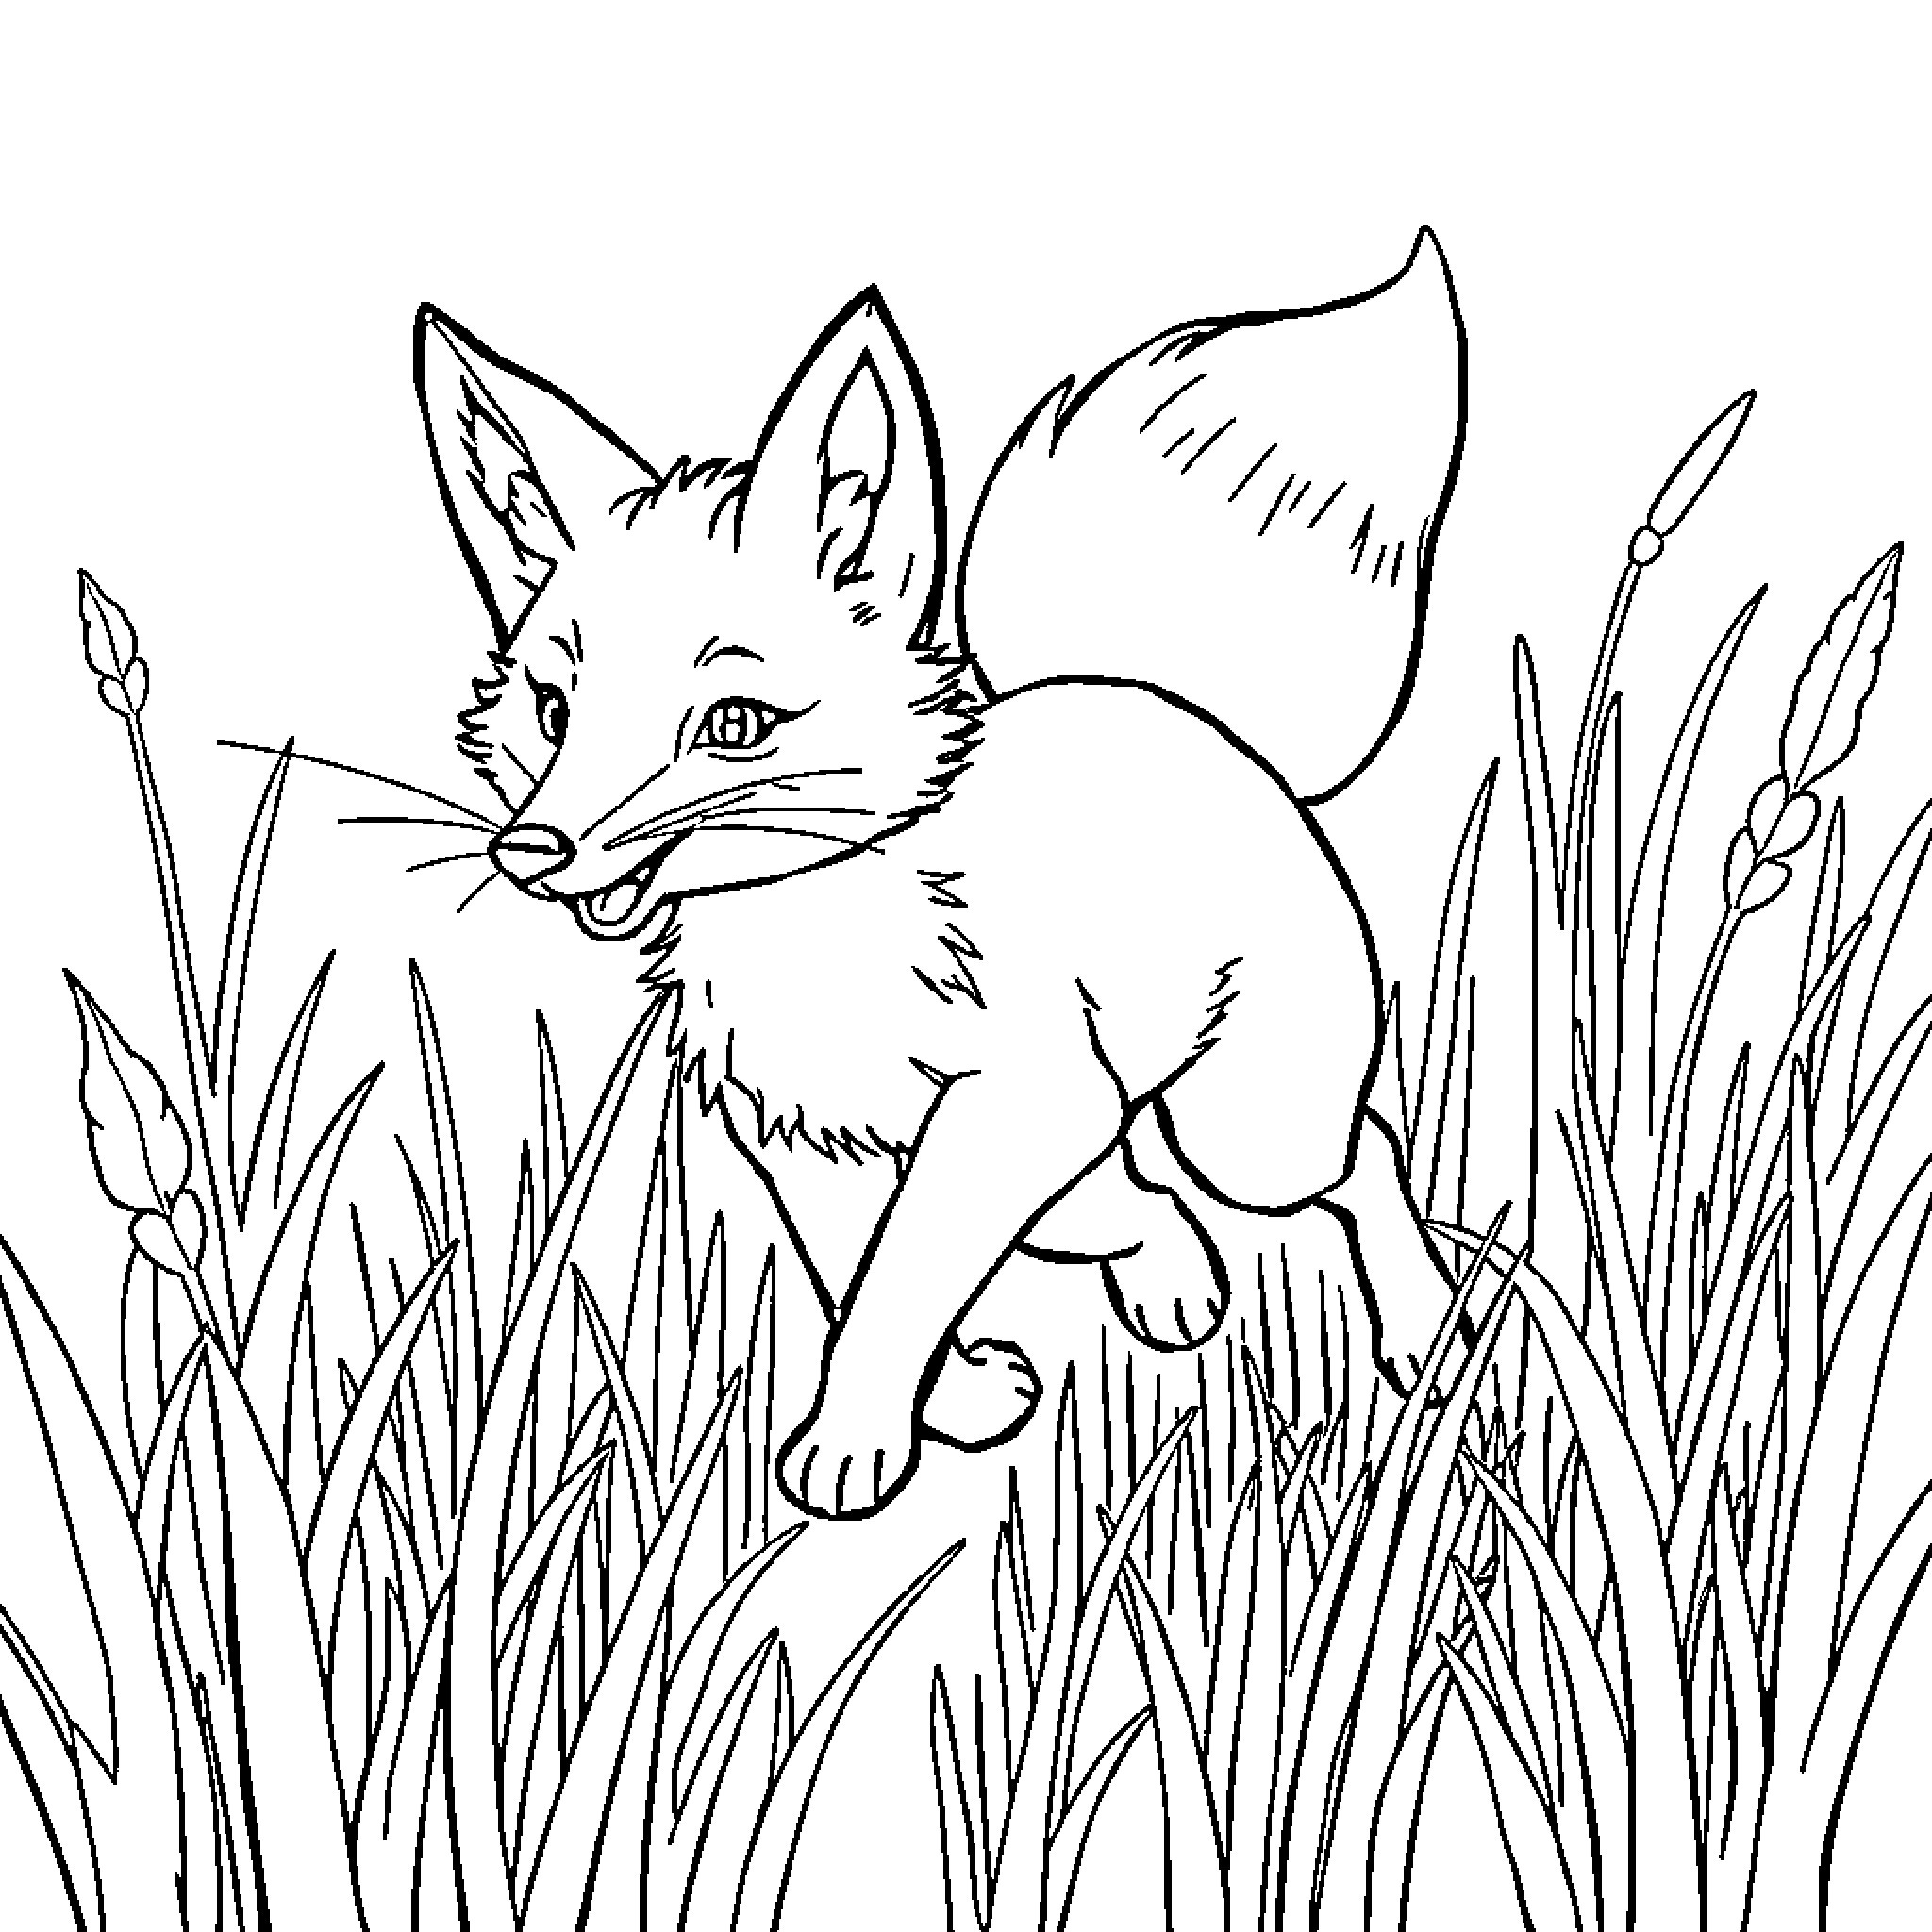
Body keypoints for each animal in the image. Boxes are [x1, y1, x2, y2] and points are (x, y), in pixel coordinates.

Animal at [413, 228, 1469, 1519]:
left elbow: (898, 1280)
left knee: (1361, 1150)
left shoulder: (1006, 1112)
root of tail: (1178, 707)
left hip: (1249, 1135)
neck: (809, 947)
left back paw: (1423, 1331)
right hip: (1105, 1151)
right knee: (1130, 1199)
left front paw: (851, 1448)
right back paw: (1175, 1284)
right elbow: (850, 1277)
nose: (531, 850)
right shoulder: (808, 1141)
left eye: (733, 724)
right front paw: (953, 1401)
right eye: (553, 712)